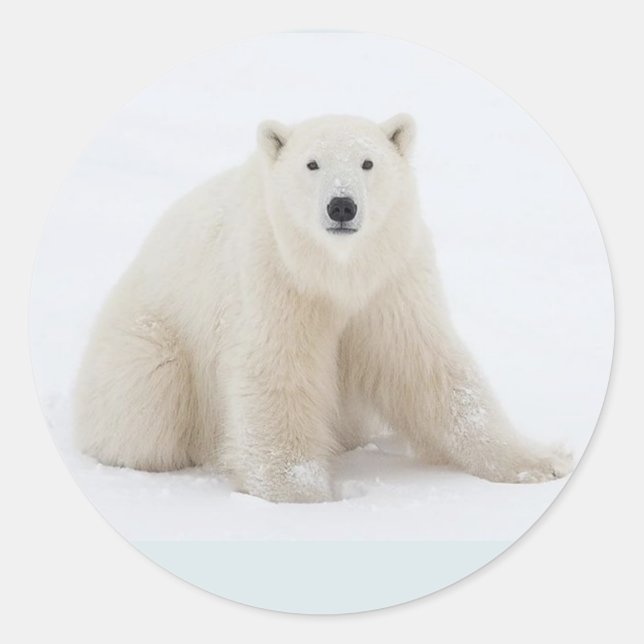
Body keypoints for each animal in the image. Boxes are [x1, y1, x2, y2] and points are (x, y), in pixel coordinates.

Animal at [73, 114, 574, 503]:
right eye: (311, 163)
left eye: (368, 162)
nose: (341, 206)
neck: (335, 270)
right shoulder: (274, 276)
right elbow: (277, 370)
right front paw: (302, 494)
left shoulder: (391, 279)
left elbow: (427, 366)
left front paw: (541, 462)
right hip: (148, 342)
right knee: (147, 403)